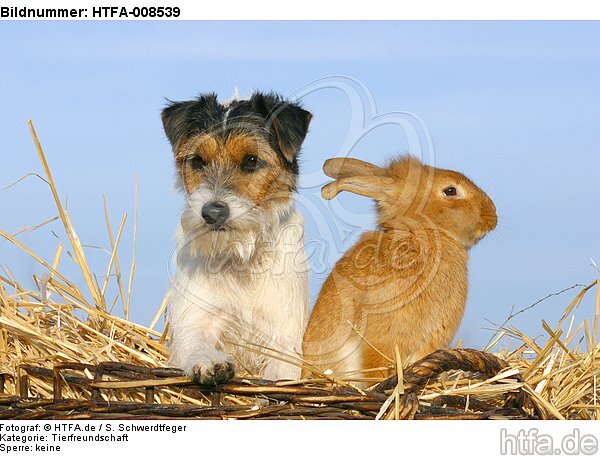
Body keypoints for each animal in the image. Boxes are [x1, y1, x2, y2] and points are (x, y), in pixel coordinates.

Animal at [162, 91, 312, 384]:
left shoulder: (283, 334)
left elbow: (282, 372)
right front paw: (211, 362)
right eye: (198, 161)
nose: (212, 213)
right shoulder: (196, 319)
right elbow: (195, 343)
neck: (241, 256)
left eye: (251, 161)